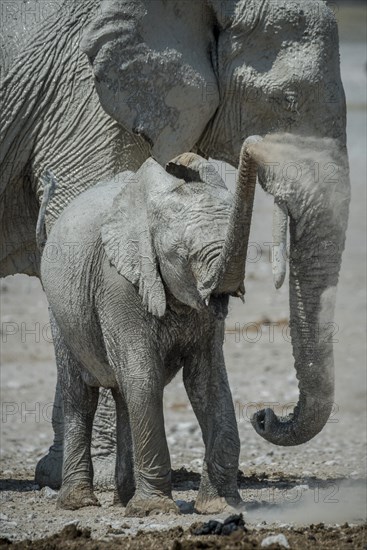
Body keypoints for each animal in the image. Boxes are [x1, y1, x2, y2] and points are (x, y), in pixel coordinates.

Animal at [41, 136, 262, 516]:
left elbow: (207, 379)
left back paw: (123, 498)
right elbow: (144, 373)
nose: (255, 143)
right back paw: (79, 503)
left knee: (123, 394)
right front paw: (154, 510)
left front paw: (220, 507)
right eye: (185, 255)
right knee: (81, 393)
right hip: (60, 311)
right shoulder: (115, 282)